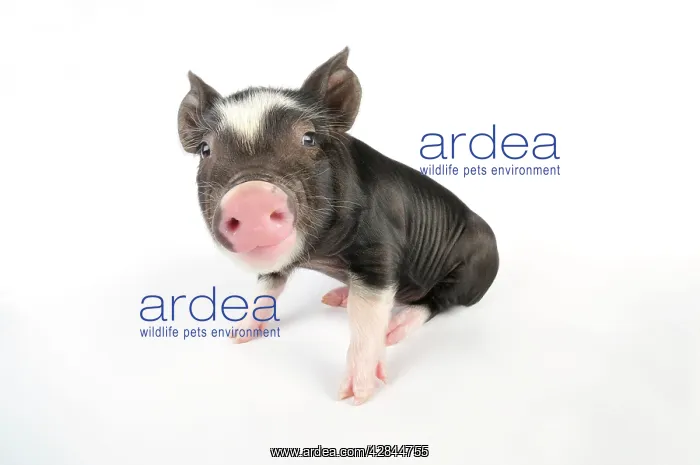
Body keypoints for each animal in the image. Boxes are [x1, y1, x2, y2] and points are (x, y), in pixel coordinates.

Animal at [176, 47, 499, 404]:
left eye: (308, 138)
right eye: (206, 150)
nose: (250, 198)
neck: (319, 253)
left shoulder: (381, 245)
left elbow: (366, 317)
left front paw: (356, 395)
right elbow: (266, 290)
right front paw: (237, 335)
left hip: (471, 271)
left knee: (436, 301)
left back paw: (393, 330)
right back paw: (336, 298)